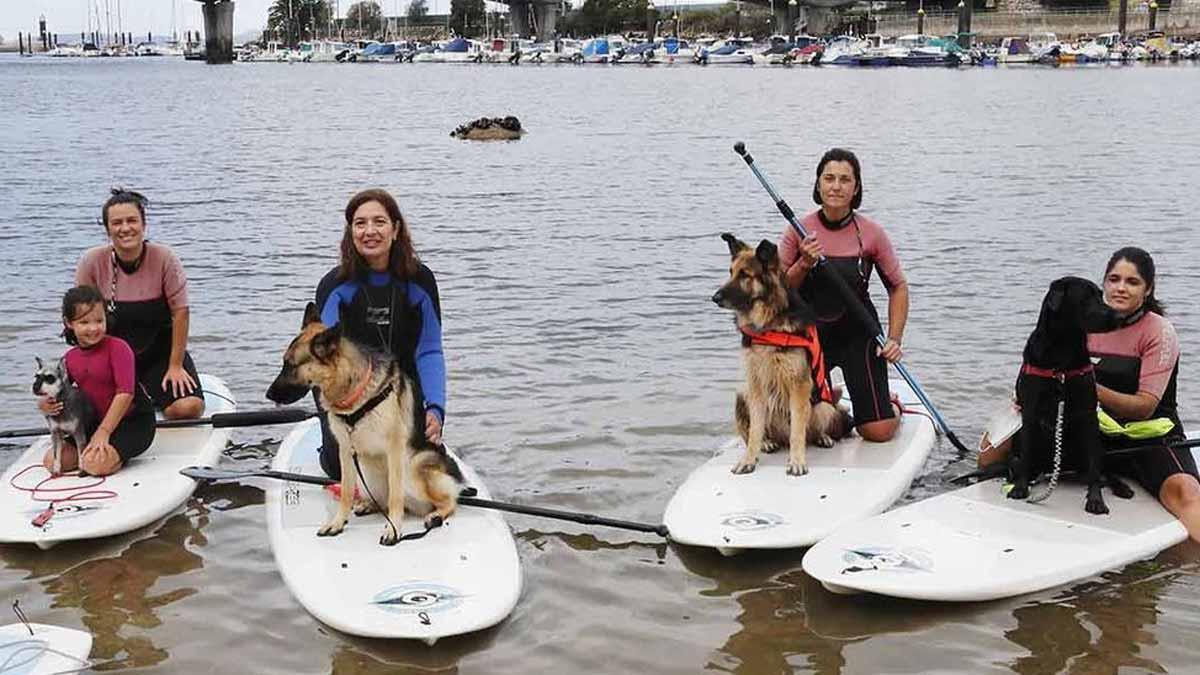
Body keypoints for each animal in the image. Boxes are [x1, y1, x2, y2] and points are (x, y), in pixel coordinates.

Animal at [267, 302, 463, 542]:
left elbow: (395, 495)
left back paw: (435, 515)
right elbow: (346, 492)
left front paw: (393, 529)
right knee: (381, 499)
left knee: (447, 502)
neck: (353, 393)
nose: (268, 395)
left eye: (290, 365)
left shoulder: (394, 450)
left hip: (413, 468)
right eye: (284, 363)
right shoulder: (345, 450)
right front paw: (337, 523)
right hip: (367, 474)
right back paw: (368, 504)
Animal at [710, 234, 854, 475]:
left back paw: (822, 437)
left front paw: (797, 462)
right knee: (751, 431)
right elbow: (755, 430)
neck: (768, 325)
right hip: (743, 393)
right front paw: (749, 460)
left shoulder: (799, 384)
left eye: (745, 275)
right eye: (730, 272)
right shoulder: (755, 383)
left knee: (811, 430)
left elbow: (798, 430)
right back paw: (767, 443)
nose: (715, 297)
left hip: (824, 401)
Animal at [1008, 276, 1128, 511]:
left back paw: (1121, 487)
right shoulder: (1029, 410)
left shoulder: (1089, 413)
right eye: (1086, 298)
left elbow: (1094, 468)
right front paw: (1020, 488)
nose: (1120, 317)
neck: (1062, 352)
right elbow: (1026, 454)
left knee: (1103, 471)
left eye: (1100, 295)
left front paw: (1095, 500)